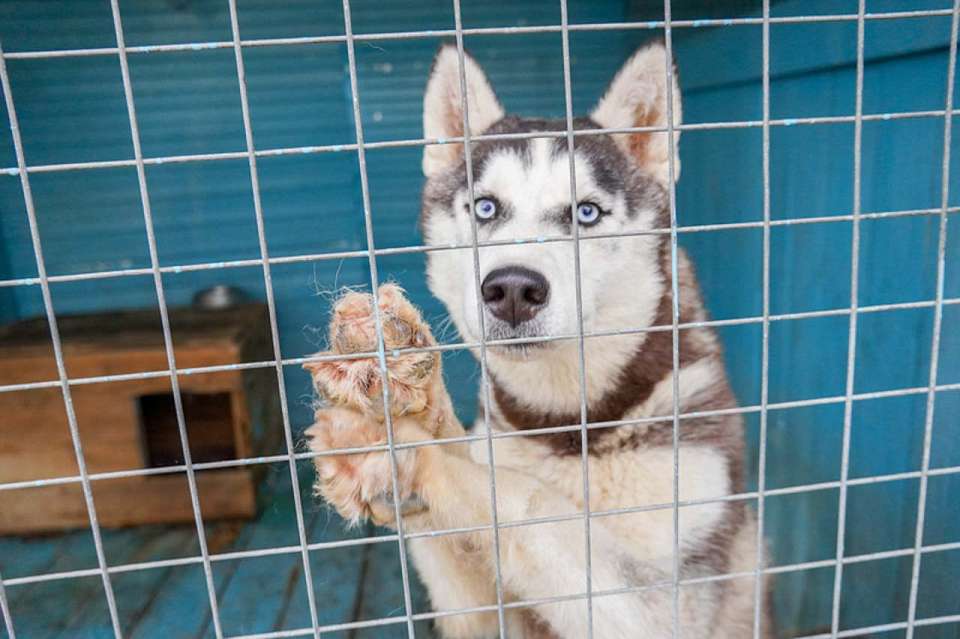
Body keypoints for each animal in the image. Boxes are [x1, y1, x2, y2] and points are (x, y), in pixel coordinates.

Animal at [308, 41, 772, 639]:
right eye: (485, 207)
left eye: (587, 212)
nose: (511, 289)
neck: (566, 424)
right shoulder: (478, 617)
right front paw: (410, 396)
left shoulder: (667, 602)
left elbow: (525, 499)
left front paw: (406, 451)